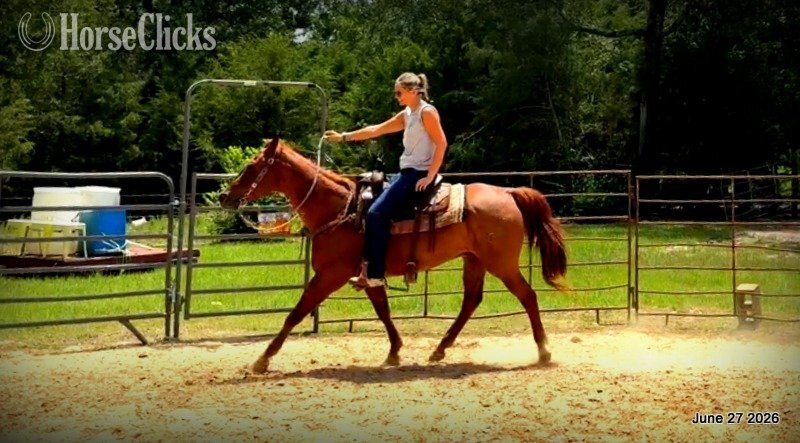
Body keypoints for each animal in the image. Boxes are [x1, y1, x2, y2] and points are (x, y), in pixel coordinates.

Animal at [220, 138, 568, 373]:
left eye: (251, 165)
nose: (225, 196)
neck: (340, 208)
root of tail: (508, 193)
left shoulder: (330, 274)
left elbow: (296, 313)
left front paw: (262, 359)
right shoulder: (369, 273)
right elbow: (383, 310)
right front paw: (395, 351)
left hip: (501, 264)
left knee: (527, 295)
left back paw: (544, 352)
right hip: (475, 261)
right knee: (471, 301)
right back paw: (439, 350)